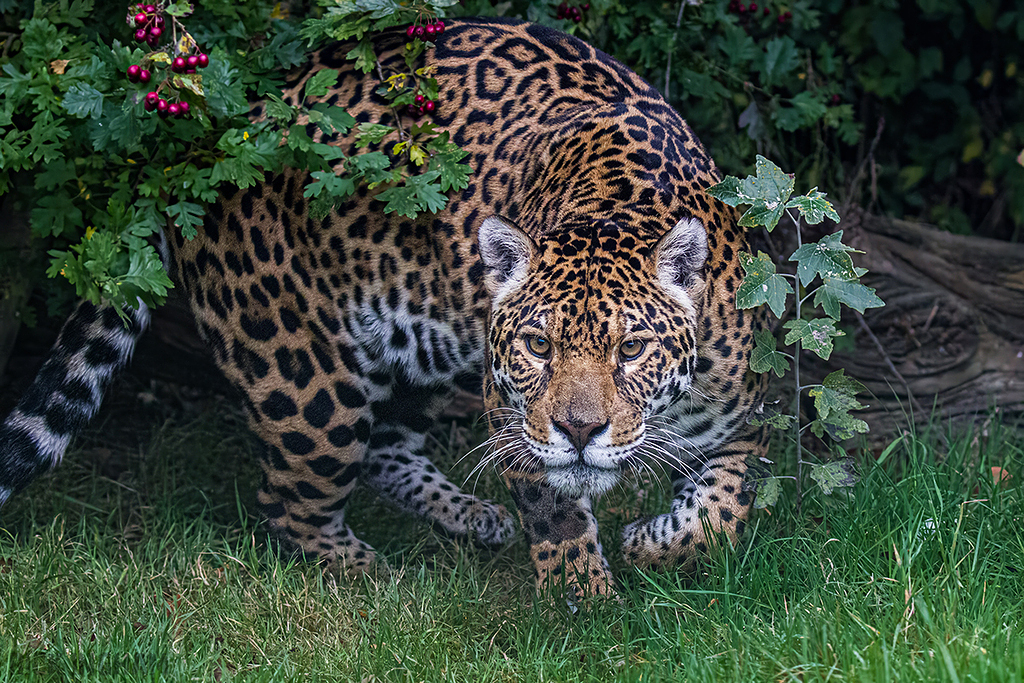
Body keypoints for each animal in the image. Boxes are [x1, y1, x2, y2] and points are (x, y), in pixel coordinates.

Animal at [0, 17, 769, 597]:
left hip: (426, 348)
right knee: (291, 502)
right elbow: (556, 510)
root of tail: (206, 148)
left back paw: (472, 517)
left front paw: (650, 541)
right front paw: (584, 599)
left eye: (631, 349)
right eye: (538, 346)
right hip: (308, 383)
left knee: (386, 448)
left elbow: (725, 512)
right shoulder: (513, 414)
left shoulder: (745, 418)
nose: (580, 430)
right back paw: (372, 575)